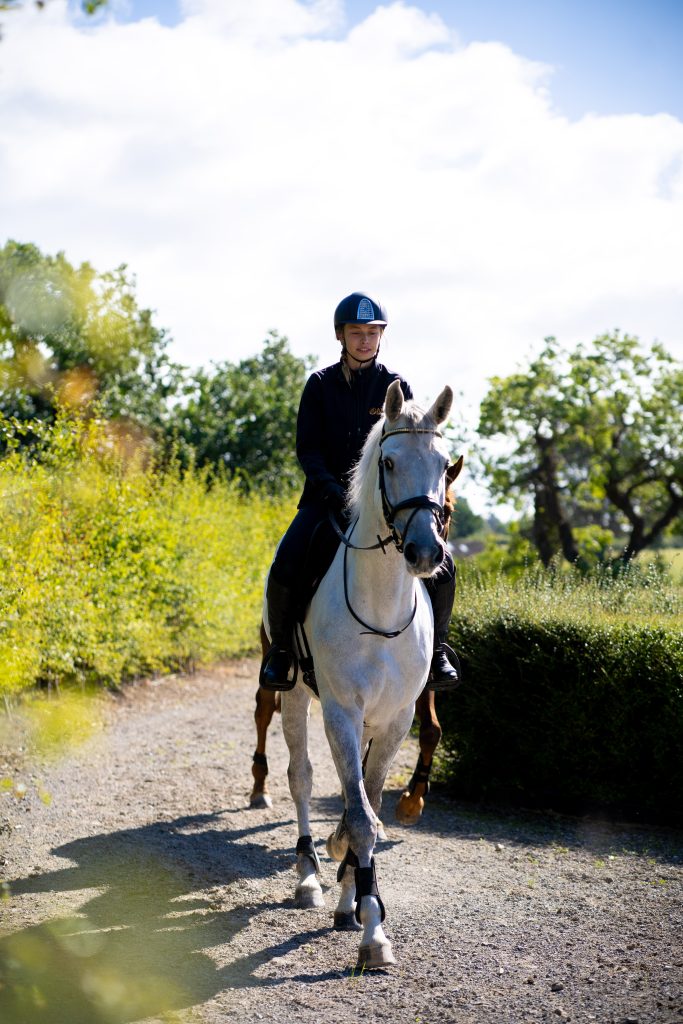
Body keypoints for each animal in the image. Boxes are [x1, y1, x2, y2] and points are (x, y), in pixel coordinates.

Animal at [264, 382, 450, 966]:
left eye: (443, 464)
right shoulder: (342, 711)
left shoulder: (394, 719)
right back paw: (307, 876)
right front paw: (373, 932)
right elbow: (362, 816)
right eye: (388, 462)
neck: (381, 606)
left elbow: (367, 801)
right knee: (301, 777)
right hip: (295, 696)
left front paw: (354, 897)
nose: (426, 552)